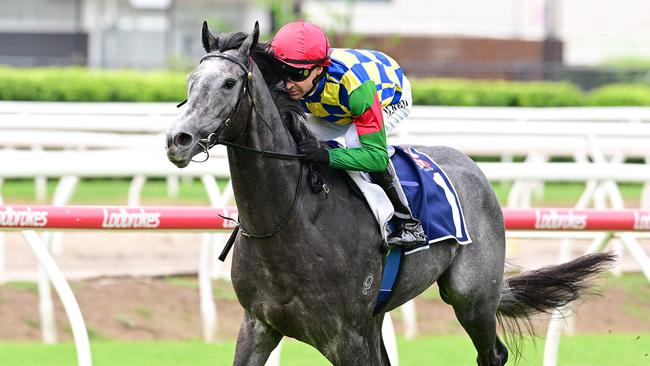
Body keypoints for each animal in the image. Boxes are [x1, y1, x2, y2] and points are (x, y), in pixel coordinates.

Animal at [166, 22, 612, 366]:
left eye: (229, 83)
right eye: (191, 82)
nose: (178, 140)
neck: (288, 223)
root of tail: (470, 165)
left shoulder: (345, 337)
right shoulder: (258, 326)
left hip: (473, 298)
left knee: (493, 353)